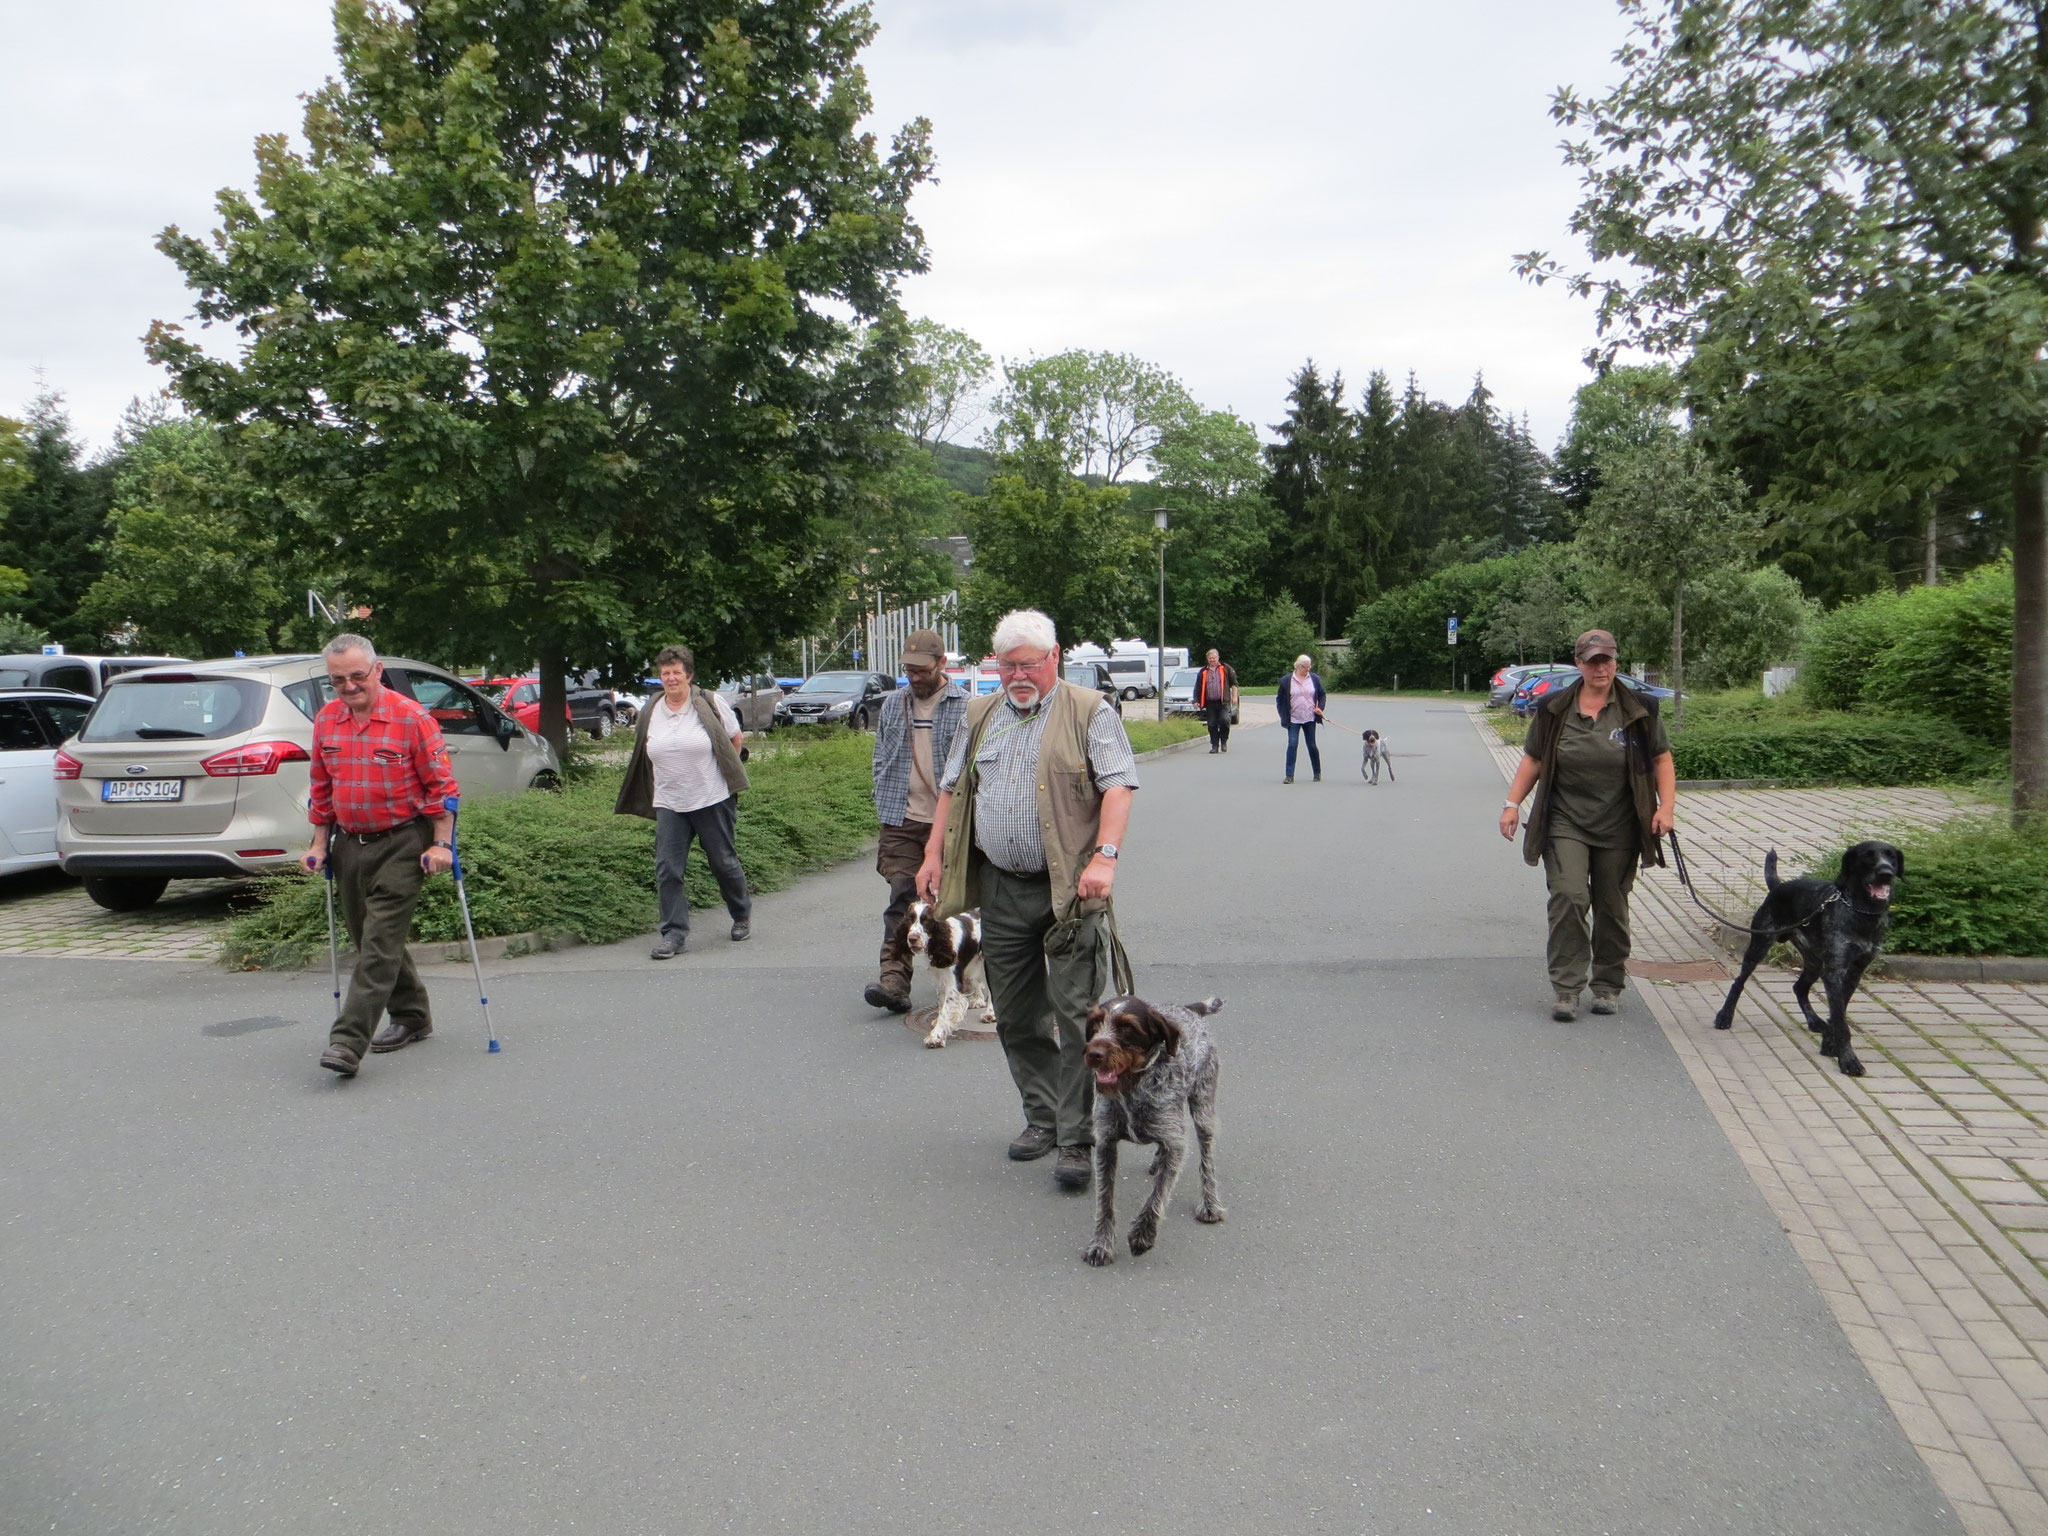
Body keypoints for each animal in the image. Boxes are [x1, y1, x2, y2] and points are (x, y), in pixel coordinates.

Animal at [901, 897, 995, 1056]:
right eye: (910, 919)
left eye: (927, 921)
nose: (912, 938)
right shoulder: (941, 977)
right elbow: (941, 1004)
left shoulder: (953, 982)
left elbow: (946, 1009)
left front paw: (936, 1037)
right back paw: (977, 999)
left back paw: (990, 1013)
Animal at [1081, 991, 1220, 1269]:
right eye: (1096, 1024)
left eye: (1127, 1027)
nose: (1094, 1053)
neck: (1132, 1087)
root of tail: (1189, 1010)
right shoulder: (1105, 1143)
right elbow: (1105, 1200)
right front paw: (1101, 1244)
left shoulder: (1175, 1144)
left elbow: (1157, 1195)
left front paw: (1142, 1235)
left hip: (1203, 1107)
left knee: (1207, 1161)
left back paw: (1210, 1205)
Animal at [1703, 843, 1892, 1081]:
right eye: (1867, 856)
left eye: (1892, 856)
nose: (1886, 873)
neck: (1861, 912)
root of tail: (1778, 887)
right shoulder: (1835, 972)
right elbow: (1840, 1020)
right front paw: (1848, 1059)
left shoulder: (1854, 972)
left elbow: (1838, 1013)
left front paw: (1830, 1044)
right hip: (1760, 946)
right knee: (1739, 981)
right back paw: (1725, 1016)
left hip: (1815, 962)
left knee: (1799, 987)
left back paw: (1815, 1021)